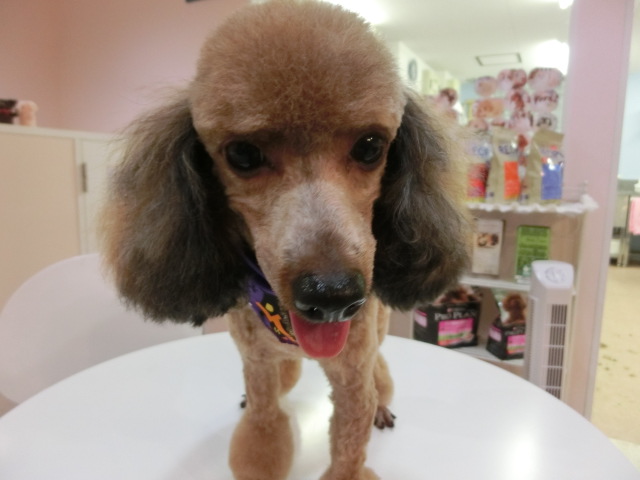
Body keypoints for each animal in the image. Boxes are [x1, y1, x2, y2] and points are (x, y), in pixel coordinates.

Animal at [101, 1, 471, 479]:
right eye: (242, 154)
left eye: (371, 146)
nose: (332, 297)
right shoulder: (257, 364)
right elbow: (263, 428)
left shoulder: (353, 379)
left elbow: (350, 446)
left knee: (381, 374)